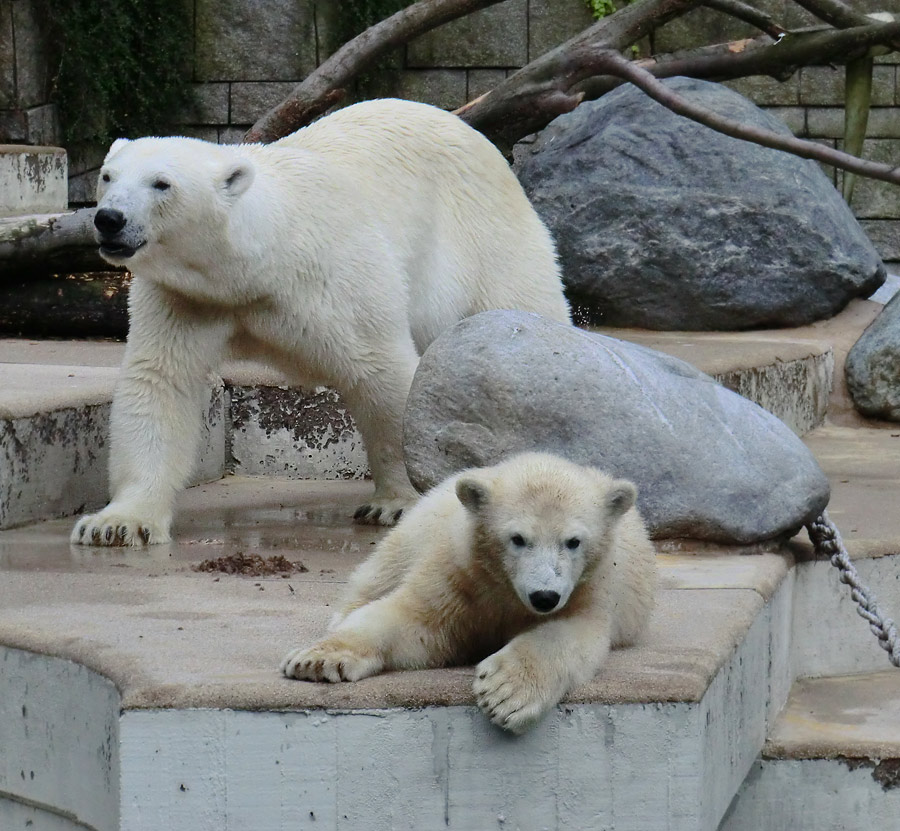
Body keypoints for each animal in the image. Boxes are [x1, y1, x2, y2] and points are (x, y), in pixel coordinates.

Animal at [75, 97, 568, 544]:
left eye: (162, 184)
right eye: (108, 176)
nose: (109, 219)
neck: (258, 263)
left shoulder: (337, 278)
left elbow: (383, 374)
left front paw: (395, 503)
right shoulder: (186, 299)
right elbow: (160, 383)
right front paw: (117, 523)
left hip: (486, 237)